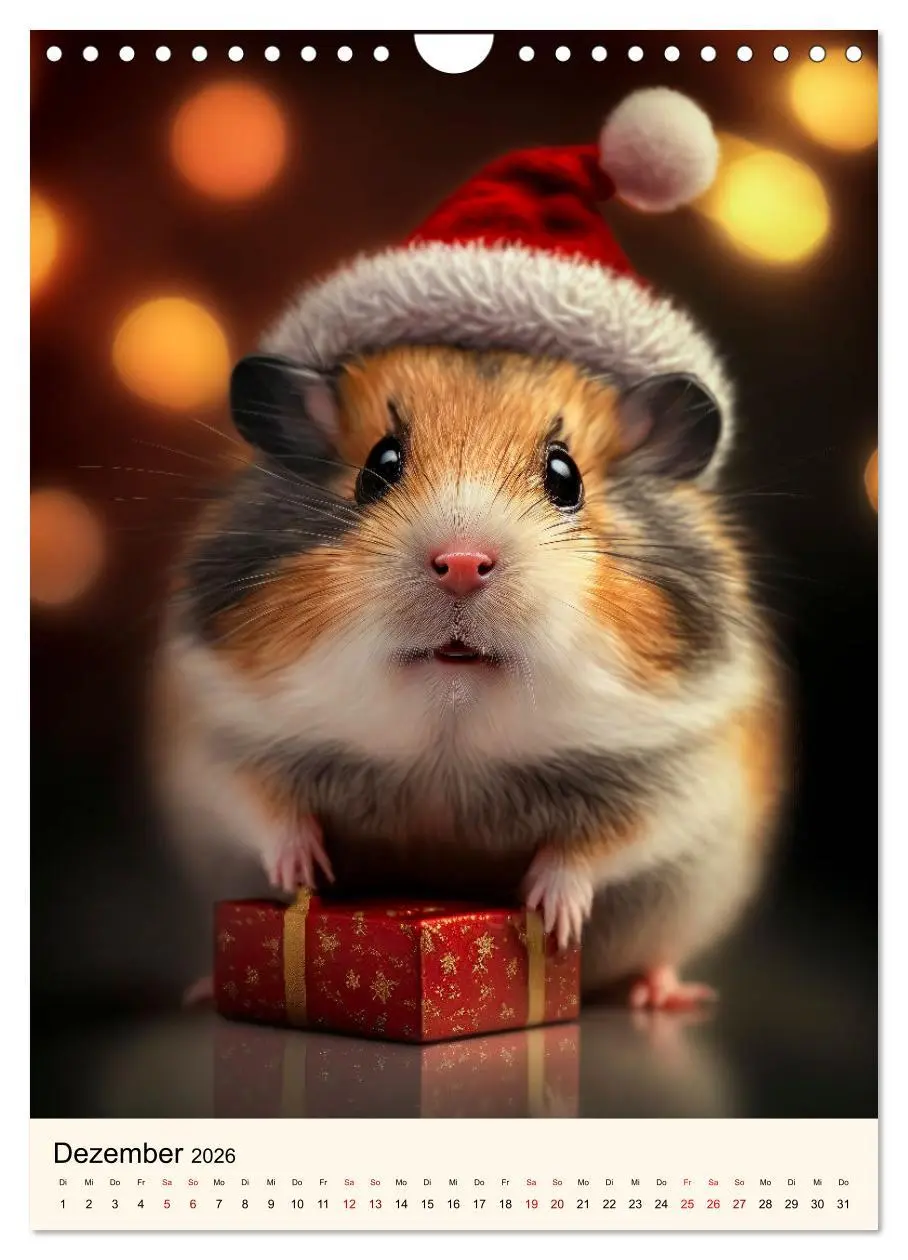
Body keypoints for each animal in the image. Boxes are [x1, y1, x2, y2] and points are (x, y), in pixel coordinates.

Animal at [154, 343, 787, 1009]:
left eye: (565, 477)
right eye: (379, 466)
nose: (461, 564)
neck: (448, 747)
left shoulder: (676, 781)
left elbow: (592, 848)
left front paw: (549, 916)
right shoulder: (221, 742)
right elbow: (268, 810)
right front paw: (306, 872)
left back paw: (667, 996)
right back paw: (203, 989)